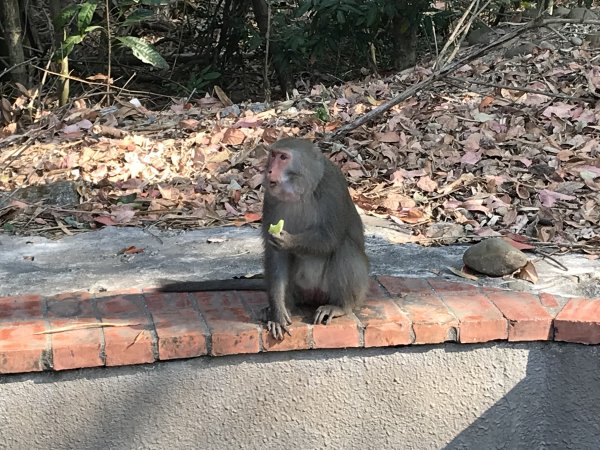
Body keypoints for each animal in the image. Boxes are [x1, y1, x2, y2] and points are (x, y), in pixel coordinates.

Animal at [162, 139, 372, 340]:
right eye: (272, 155)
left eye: (283, 157)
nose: (269, 170)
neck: (301, 191)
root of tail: (312, 296)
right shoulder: (271, 199)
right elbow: (275, 256)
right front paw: (278, 314)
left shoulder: (333, 186)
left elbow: (330, 237)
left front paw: (288, 241)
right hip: (298, 289)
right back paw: (282, 307)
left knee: (344, 247)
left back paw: (341, 306)